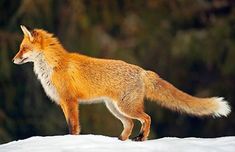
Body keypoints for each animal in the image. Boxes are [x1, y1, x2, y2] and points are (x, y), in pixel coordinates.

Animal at [11, 25, 230, 141]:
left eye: (23, 49)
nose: (13, 60)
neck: (54, 65)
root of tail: (142, 70)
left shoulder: (70, 101)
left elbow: (73, 127)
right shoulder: (64, 103)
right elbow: (71, 126)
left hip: (126, 107)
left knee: (146, 118)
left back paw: (141, 138)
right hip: (115, 109)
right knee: (131, 123)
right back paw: (122, 141)